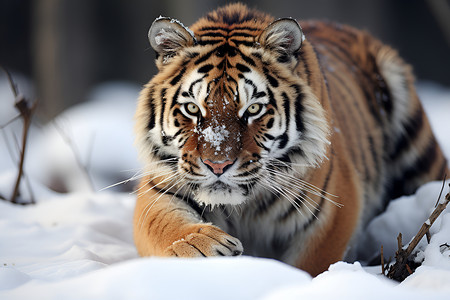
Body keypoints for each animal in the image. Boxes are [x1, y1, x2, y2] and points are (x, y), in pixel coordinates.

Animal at [132, 2, 448, 276]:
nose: (218, 165)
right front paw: (200, 247)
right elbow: (163, 224)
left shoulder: (333, 209)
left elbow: (311, 265)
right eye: (192, 108)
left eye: (253, 109)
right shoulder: (158, 187)